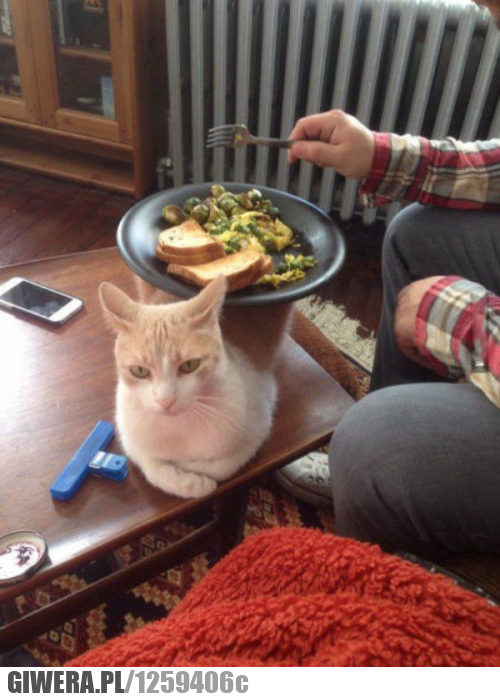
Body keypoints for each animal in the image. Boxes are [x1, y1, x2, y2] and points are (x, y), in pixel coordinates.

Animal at [99, 276, 293, 499]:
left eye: (190, 365)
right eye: (139, 370)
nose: (165, 400)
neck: (178, 427)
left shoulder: (258, 421)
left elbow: (222, 466)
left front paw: (195, 474)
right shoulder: (130, 436)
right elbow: (152, 467)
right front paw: (188, 482)